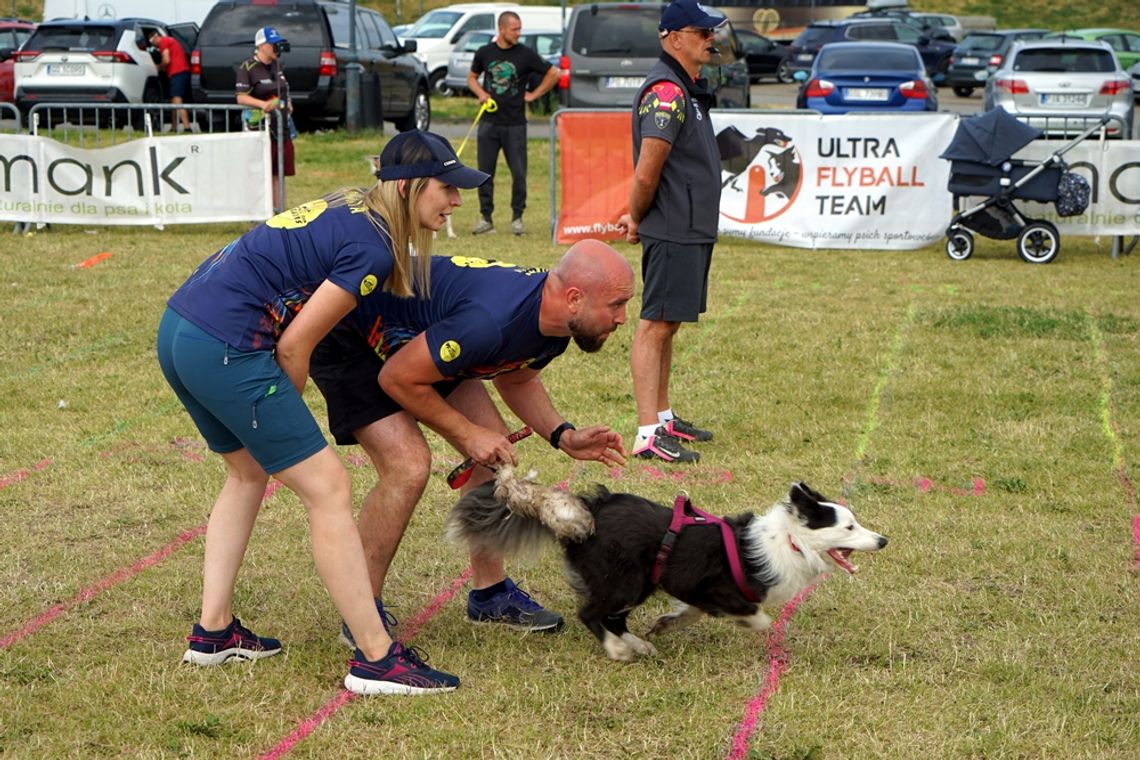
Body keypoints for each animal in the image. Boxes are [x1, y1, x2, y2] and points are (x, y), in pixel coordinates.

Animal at [446, 464, 889, 660]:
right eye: (849, 527)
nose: (883, 540)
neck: (791, 542)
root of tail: (588, 510)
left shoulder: (693, 588)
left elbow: (690, 612)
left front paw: (666, 623)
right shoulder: (720, 588)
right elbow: (756, 615)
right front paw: (747, 623)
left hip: (634, 582)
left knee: (612, 616)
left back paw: (637, 642)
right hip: (627, 580)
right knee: (591, 612)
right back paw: (618, 649)